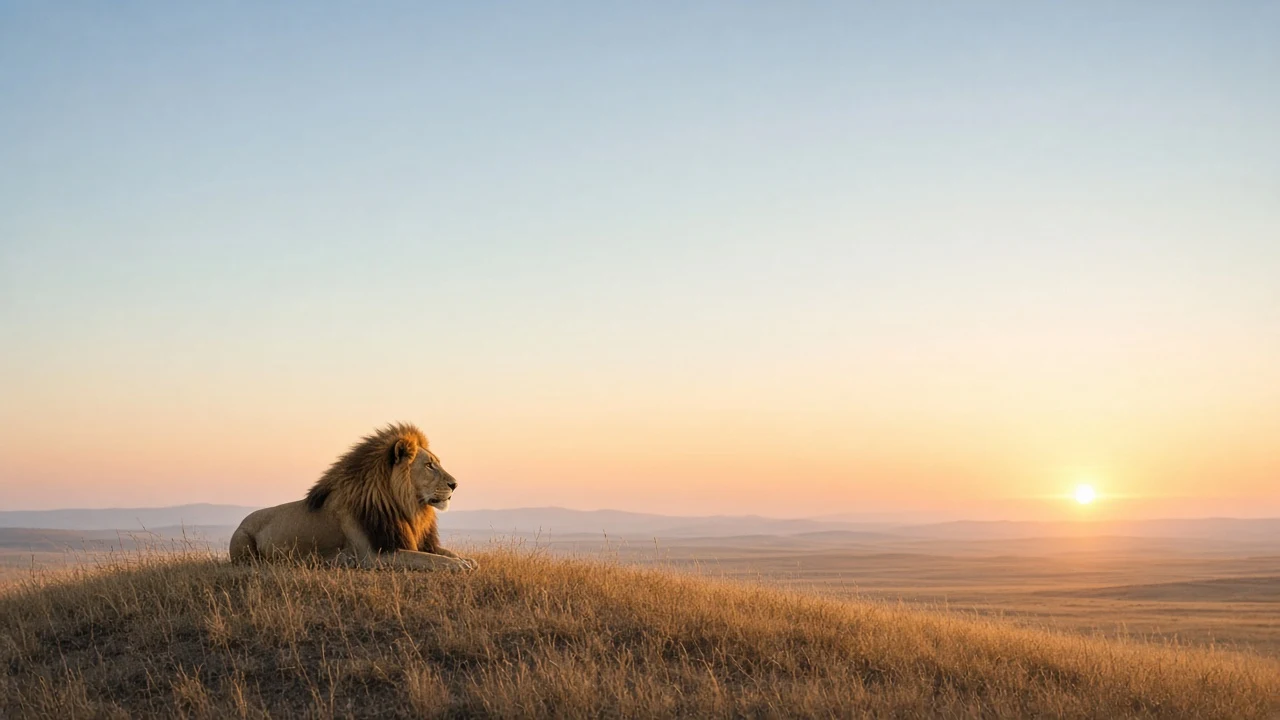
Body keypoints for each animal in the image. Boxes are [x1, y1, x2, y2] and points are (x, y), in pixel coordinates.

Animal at [229, 423, 477, 571]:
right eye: (429, 465)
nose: (455, 484)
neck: (407, 507)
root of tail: (242, 521)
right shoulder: (376, 555)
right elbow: (429, 559)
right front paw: (459, 565)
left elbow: (443, 553)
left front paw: (466, 560)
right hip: (243, 543)